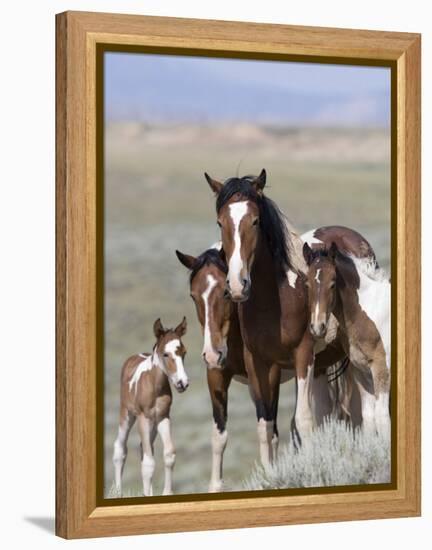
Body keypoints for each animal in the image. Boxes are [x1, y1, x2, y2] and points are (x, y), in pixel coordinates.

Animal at [113, 316, 189, 498]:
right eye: (165, 354)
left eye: (183, 352)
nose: (182, 383)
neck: (155, 387)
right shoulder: (143, 418)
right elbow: (148, 463)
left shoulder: (163, 417)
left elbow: (168, 454)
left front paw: (166, 493)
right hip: (127, 414)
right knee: (120, 448)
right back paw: (118, 494)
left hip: (152, 424)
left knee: (144, 448)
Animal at [302, 244, 390, 438]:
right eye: (307, 284)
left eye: (333, 283)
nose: (318, 327)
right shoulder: (361, 370)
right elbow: (368, 417)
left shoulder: (381, 368)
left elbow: (382, 418)